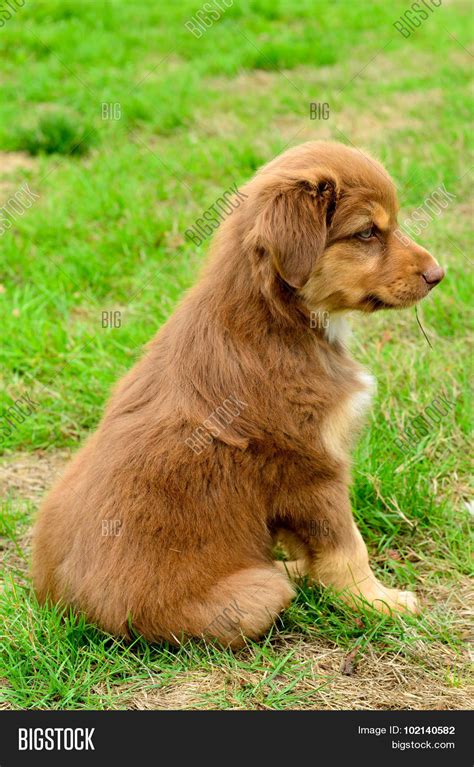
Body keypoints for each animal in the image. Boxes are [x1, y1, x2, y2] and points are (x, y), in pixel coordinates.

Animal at [33, 141, 444, 644]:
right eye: (367, 232)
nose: (439, 274)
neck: (280, 315)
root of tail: (68, 614)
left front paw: (337, 585)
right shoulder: (313, 469)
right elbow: (348, 547)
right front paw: (380, 603)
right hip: (252, 598)